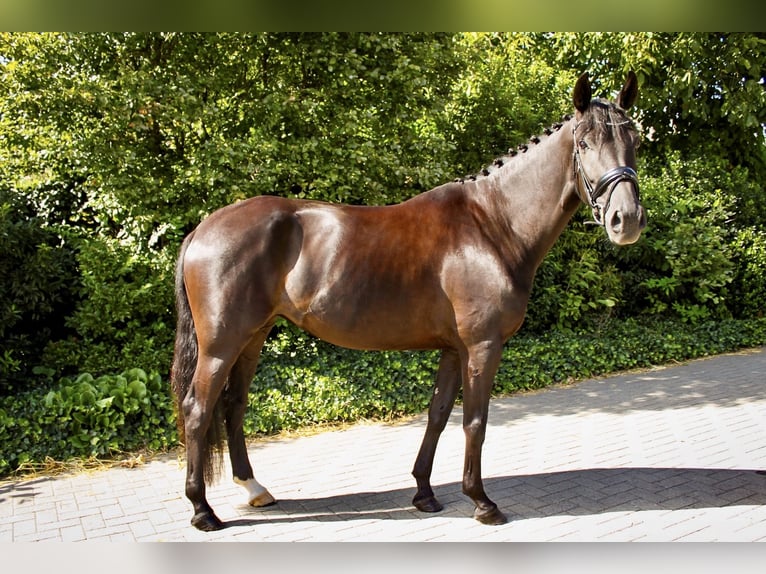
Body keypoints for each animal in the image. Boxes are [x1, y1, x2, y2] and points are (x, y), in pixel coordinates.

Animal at [170, 73, 648, 536]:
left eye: (635, 141)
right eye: (584, 144)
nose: (626, 220)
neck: (493, 224)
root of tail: (202, 230)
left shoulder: (454, 348)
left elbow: (438, 414)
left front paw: (424, 493)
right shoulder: (483, 346)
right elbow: (475, 421)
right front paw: (482, 502)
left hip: (253, 336)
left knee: (234, 406)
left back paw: (254, 489)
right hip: (220, 345)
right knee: (198, 409)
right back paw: (202, 511)